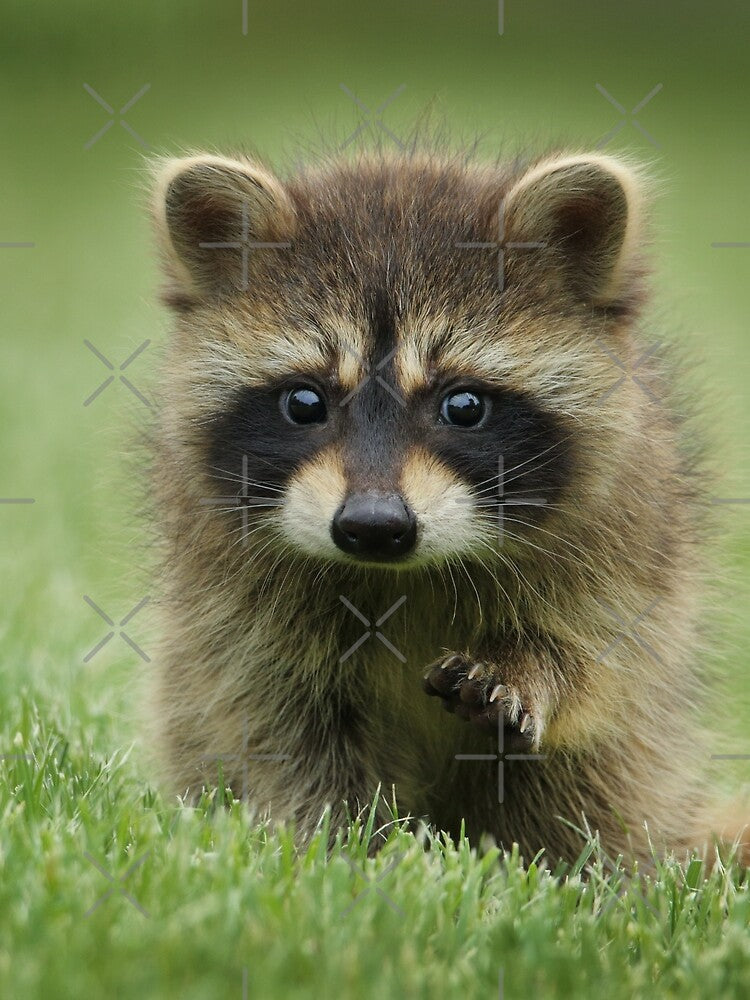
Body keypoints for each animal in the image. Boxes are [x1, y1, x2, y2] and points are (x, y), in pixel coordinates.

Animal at [147, 145, 743, 866]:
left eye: (463, 405)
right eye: (304, 402)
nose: (374, 527)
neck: (404, 574)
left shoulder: (626, 535)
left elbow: (601, 653)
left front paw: (530, 667)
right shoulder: (231, 599)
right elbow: (279, 724)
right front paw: (346, 847)